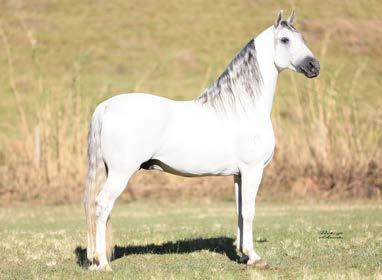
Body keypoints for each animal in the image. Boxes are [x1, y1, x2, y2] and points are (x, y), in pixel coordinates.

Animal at [83, 10, 320, 272]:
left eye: (302, 37)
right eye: (285, 39)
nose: (314, 66)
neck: (243, 108)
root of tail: (106, 106)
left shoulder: (238, 175)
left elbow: (239, 212)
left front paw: (242, 255)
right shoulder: (253, 170)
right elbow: (249, 211)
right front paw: (254, 257)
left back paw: (96, 261)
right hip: (120, 173)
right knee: (102, 206)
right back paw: (103, 263)